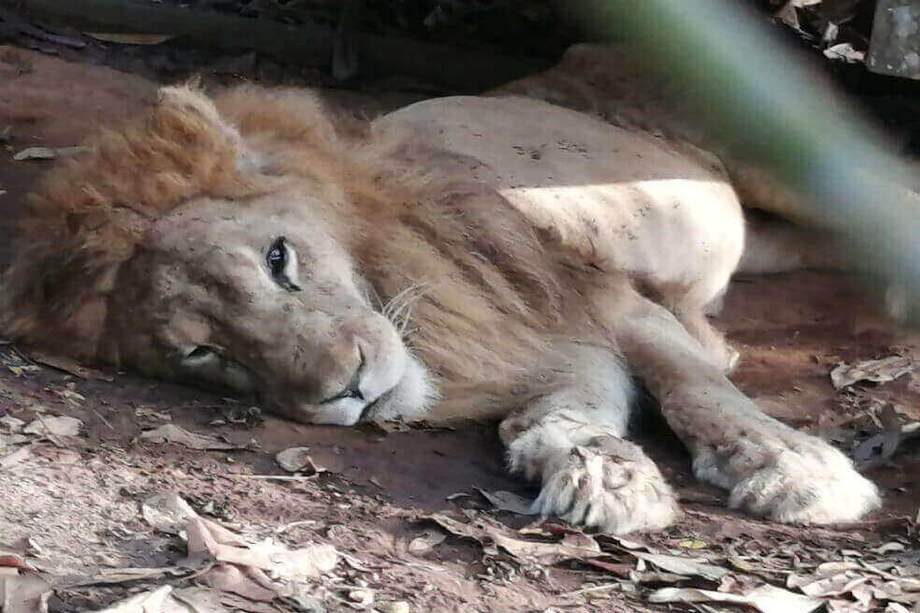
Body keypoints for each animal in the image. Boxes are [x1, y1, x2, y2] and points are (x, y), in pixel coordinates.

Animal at [0, 78, 880, 534]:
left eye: (279, 258)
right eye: (203, 353)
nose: (347, 390)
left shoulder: (593, 296)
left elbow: (697, 387)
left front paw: (795, 469)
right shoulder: (543, 343)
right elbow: (565, 408)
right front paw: (603, 471)